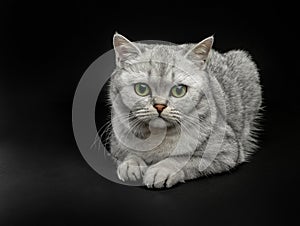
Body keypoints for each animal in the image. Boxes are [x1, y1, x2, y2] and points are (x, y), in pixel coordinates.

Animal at [106, 33, 262, 189]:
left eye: (179, 90)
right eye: (142, 89)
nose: (160, 106)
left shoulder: (226, 150)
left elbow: (184, 158)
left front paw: (162, 170)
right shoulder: (116, 144)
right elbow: (126, 153)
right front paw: (131, 164)